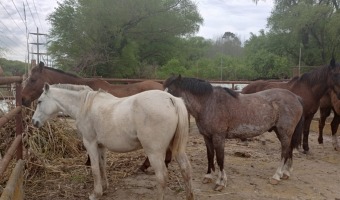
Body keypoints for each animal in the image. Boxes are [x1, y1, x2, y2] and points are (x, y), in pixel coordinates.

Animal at [31, 83, 194, 200]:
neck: (84, 105)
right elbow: (102, 166)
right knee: (186, 171)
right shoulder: (101, 146)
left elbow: (95, 169)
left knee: (161, 177)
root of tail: (171, 99)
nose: (34, 122)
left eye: (39, 101)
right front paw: (104, 188)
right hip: (177, 150)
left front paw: (95, 194)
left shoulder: (90, 143)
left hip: (154, 152)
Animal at [163, 75, 304, 191]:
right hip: (282, 133)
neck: (209, 103)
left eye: (171, 92)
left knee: (284, 151)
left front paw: (221, 182)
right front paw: (208, 176)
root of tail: (296, 97)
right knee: (289, 150)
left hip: (284, 132)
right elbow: (210, 156)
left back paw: (276, 176)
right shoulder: (207, 137)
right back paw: (286, 173)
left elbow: (220, 158)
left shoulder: (218, 137)